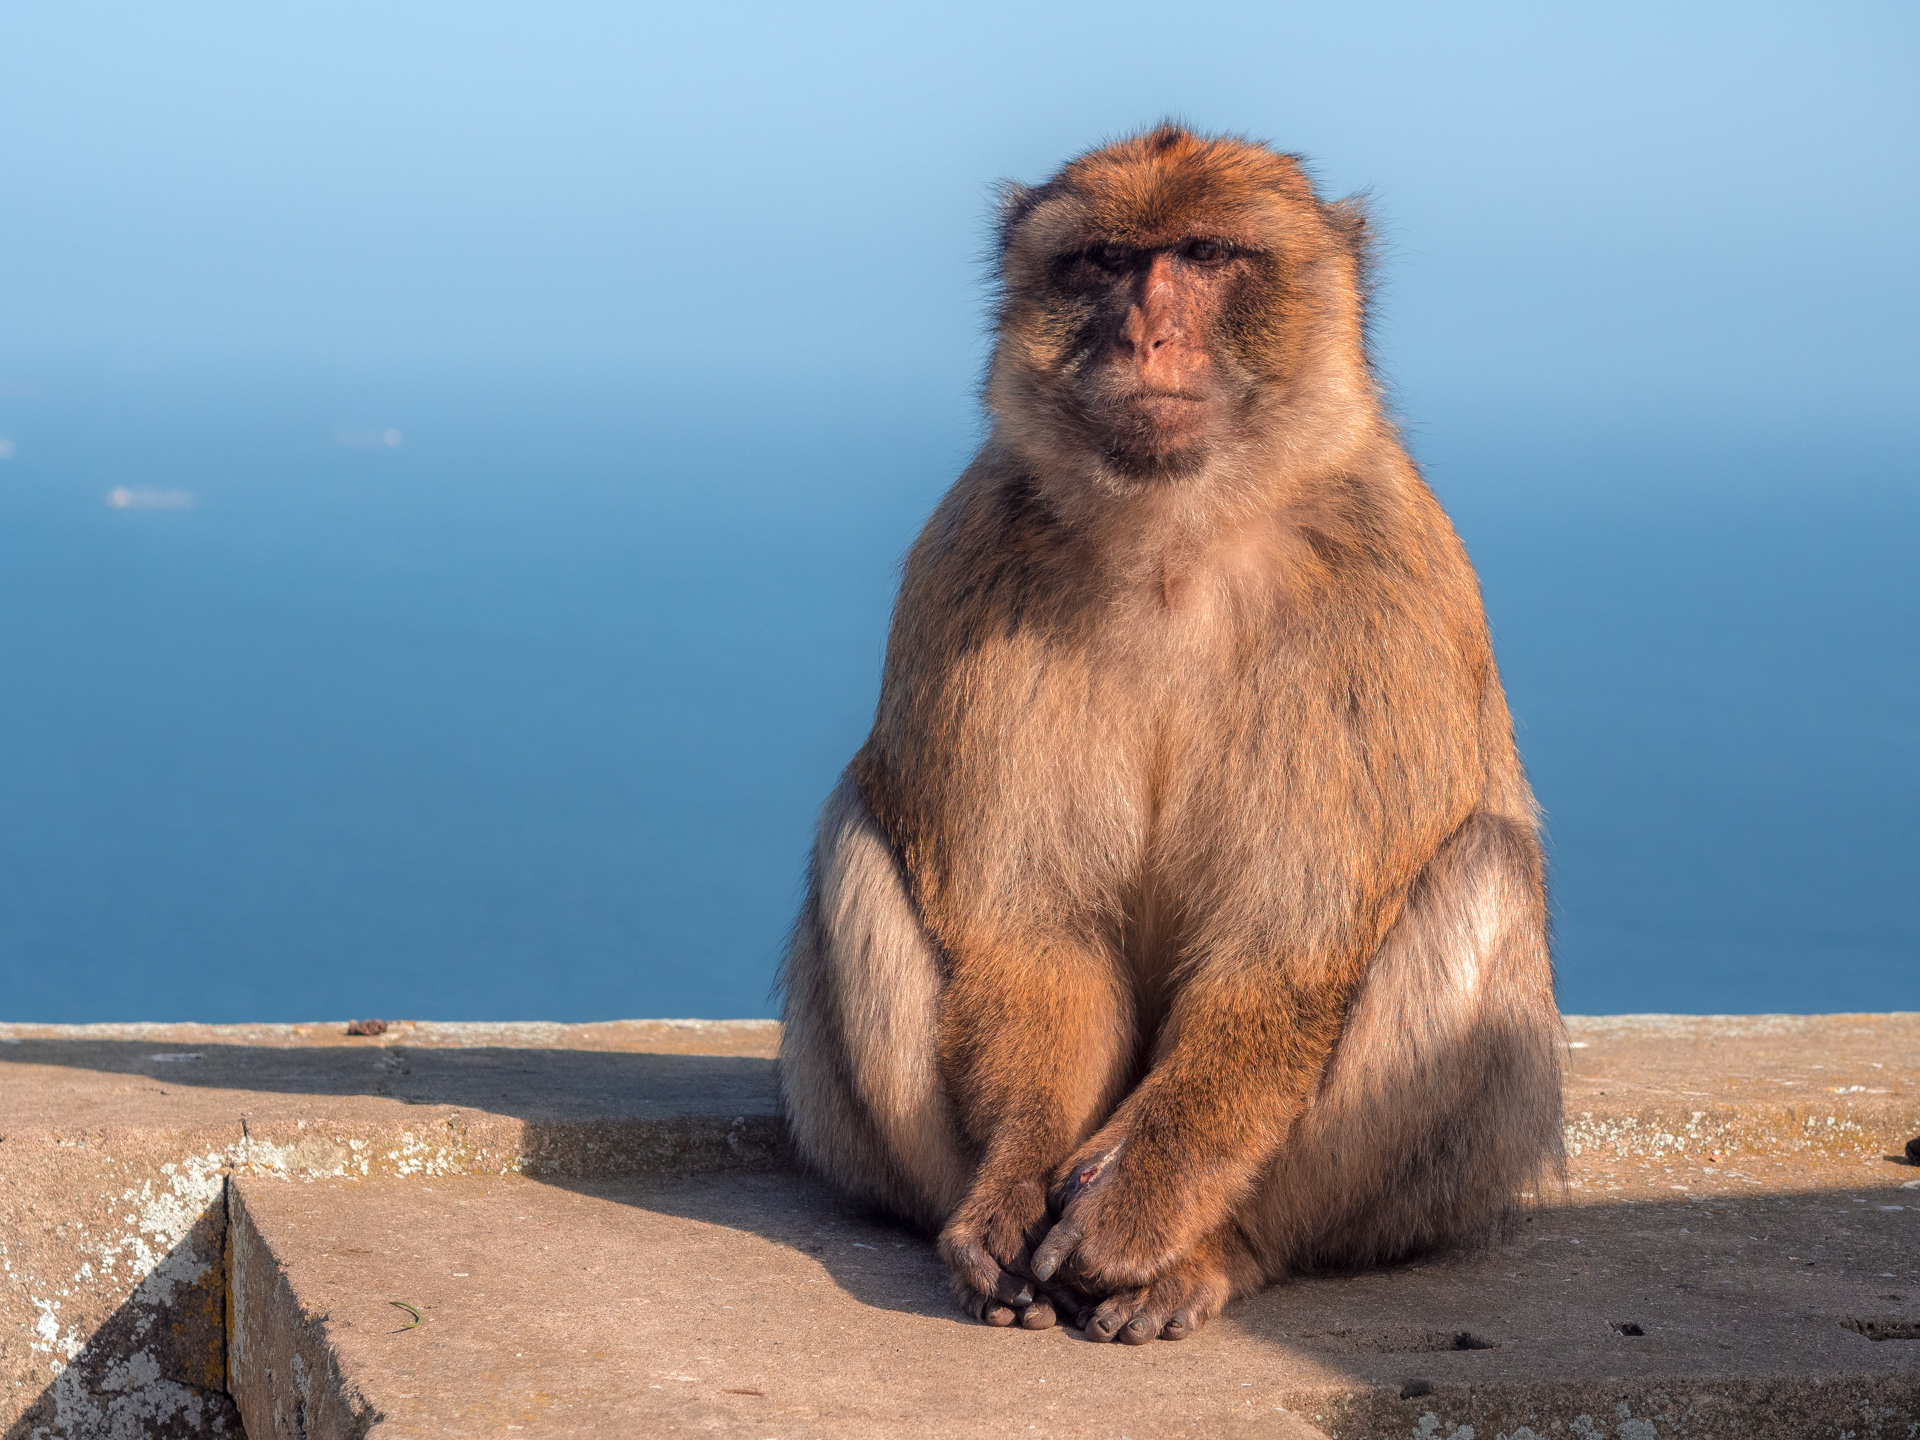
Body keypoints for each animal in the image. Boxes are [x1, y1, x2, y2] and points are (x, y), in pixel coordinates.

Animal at [778, 124, 1563, 1344]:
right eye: (1105, 260)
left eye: (1206, 255)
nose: (1147, 334)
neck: (1176, 540)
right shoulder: (973, 555)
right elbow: (1032, 929)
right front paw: (1012, 1186)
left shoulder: (1382, 585)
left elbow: (1281, 957)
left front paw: (1137, 1204)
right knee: (859, 831)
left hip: (1451, 1178)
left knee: (1482, 864)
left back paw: (1214, 1254)